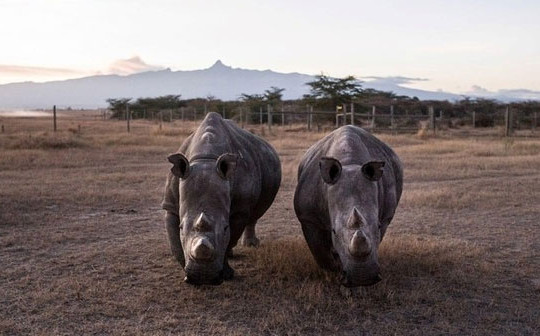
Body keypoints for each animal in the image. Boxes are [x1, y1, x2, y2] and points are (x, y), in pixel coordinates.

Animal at [161, 112, 280, 284]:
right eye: (181, 227)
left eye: (225, 228)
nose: (203, 278)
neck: (205, 159)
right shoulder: (170, 205)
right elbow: (175, 243)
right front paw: (185, 271)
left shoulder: (240, 209)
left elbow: (231, 236)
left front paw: (226, 274)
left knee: (256, 213)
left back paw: (250, 245)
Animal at [294, 124, 402, 288]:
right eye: (333, 231)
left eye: (377, 226)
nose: (362, 279)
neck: (349, 162)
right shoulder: (308, 218)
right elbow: (320, 253)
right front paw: (332, 275)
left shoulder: (385, 218)